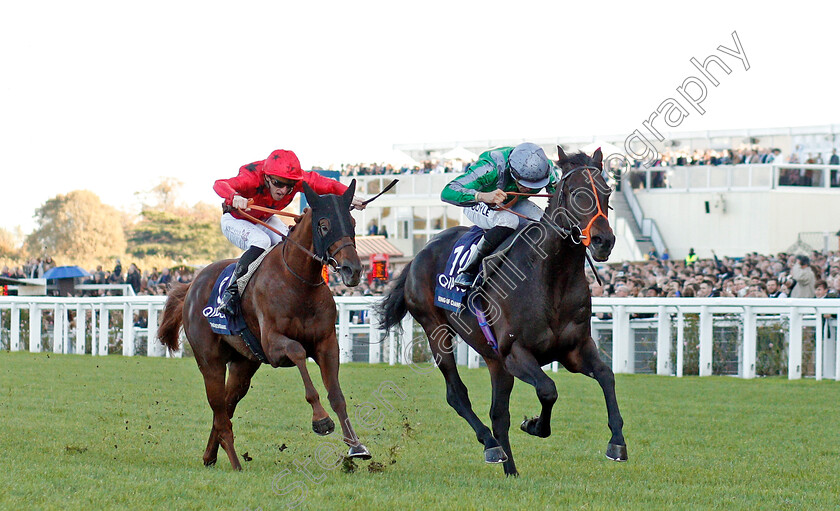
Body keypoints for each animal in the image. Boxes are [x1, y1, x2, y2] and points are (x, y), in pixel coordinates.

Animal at [159, 182, 370, 470]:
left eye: (352, 222)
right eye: (324, 225)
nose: (353, 270)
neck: (298, 283)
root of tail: (192, 283)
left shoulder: (327, 344)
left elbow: (336, 394)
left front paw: (356, 446)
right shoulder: (273, 345)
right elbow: (298, 353)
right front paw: (321, 419)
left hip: (243, 365)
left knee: (226, 407)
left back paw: (210, 456)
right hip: (210, 362)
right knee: (218, 408)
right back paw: (235, 462)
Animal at [378, 147, 628, 476]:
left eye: (607, 191)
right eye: (576, 193)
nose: (603, 241)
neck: (550, 277)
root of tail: (418, 254)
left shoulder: (574, 349)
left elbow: (607, 376)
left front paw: (617, 443)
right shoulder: (515, 352)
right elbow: (548, 389)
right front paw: (534, 425)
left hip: (493, 358)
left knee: (498, 413)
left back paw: (510, 468)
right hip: (436, 331)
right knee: (457, 394)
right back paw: (491, 446)